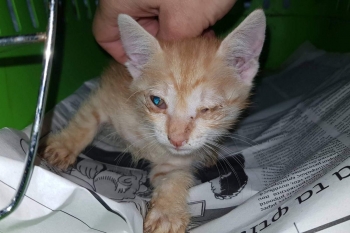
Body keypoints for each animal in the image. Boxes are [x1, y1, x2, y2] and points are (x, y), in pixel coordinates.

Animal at [43, 9, 266, 233]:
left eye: (208, 109)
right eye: (157, 101)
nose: (176, 140)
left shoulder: (175, 160)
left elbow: (173, 177)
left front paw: (167, 212)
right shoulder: (107, 95)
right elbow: (87, 119)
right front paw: (64, 146)